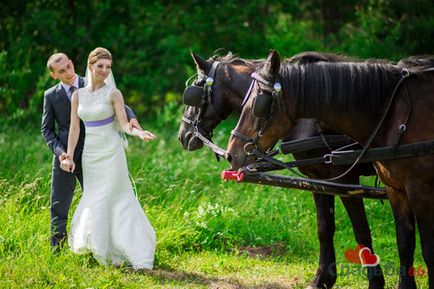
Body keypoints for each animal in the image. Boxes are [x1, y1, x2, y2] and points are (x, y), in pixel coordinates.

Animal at [178, 51, 384, 288]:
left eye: (194, 91)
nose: (183, 134)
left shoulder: (346, 180)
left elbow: (361, 231)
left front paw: (375, 282)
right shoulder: (319, 180)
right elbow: (324, 228)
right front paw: (322, 279)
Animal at [225, 50, 434, 288]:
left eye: (257, 104)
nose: (230, 153)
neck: (391, 113)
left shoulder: (409, 188)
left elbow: (367, 232)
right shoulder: (388, 189)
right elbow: (329, 228)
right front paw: (322, 278)